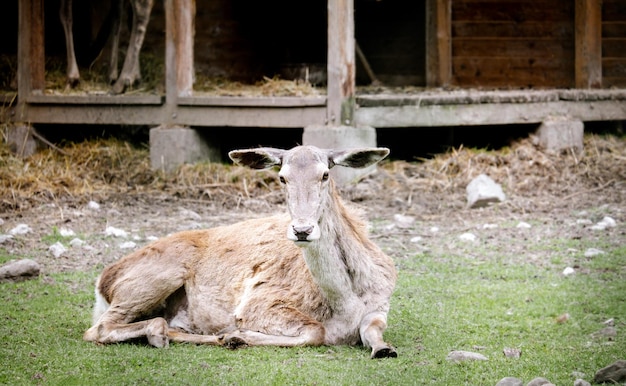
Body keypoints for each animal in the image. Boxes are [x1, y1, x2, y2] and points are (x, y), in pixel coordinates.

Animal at [83, 145, 398, 358]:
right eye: (282, 177)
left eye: (325, 174)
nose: (302, 230)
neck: (346, 304)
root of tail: (103, 282)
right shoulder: (259, 303)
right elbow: (315, 331)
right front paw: (239, 335)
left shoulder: (381, 305)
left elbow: (372, 329)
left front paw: (385, 348)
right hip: (153, 279)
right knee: (98, 329)